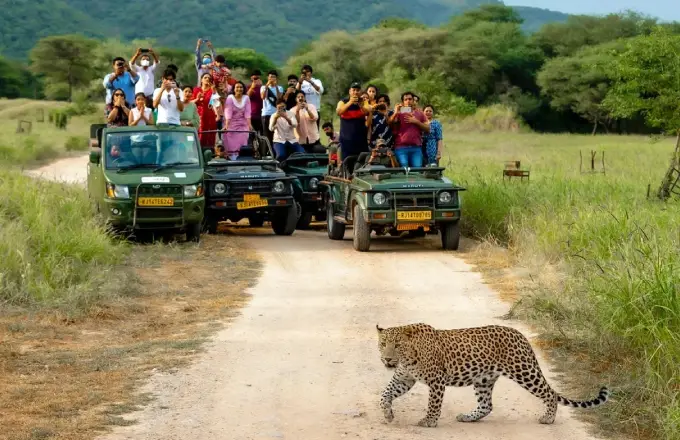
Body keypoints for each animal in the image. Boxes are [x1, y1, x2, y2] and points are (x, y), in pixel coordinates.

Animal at [376, 322, 610, 428]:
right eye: (383, 344)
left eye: (397, 346)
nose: (387, 359)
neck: (408, 357)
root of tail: (520, 335)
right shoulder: (404, 378)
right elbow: (385, 394)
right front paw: (388, 414)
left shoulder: (437, 380)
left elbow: (433, 403)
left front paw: (429, 421)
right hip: (484, 379)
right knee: (487, 405)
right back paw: (468, 417)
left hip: (524, 371)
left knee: (549, 393)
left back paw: (548, 418)